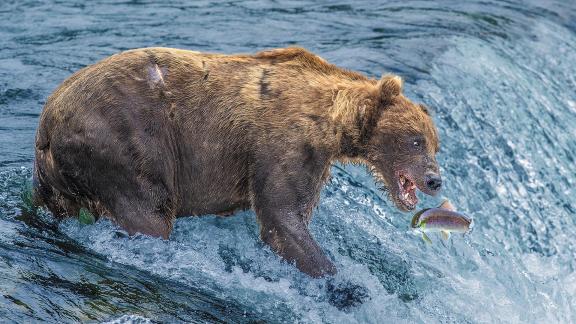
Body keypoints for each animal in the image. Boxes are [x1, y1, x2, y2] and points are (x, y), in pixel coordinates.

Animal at [35, 46, 440, 278]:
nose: (435, 180)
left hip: (59, 178)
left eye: (434, 144)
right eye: (415, 140)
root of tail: (48, 121)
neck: (331, 124)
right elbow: (283, 216)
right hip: (125, 140)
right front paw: (338, 280)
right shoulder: (284, 143)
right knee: (147, 210)